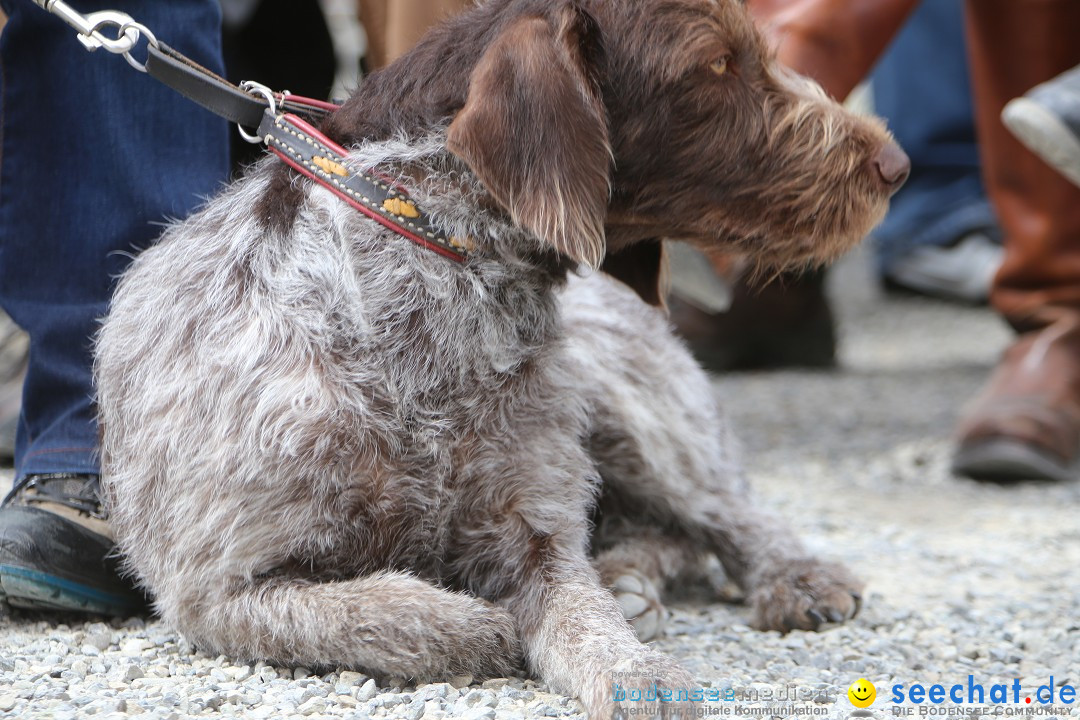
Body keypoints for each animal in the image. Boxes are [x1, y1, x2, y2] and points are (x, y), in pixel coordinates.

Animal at [92, 0, 907, 716]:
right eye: (716, 63)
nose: (895, 162)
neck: (424, 269)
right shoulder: (216, 589)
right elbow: (369, 610)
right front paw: (473, 622)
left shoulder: (536, 530)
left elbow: (586, 616)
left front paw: (637, 670)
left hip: (621, 409)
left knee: (718, 512)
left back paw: (784, 575)